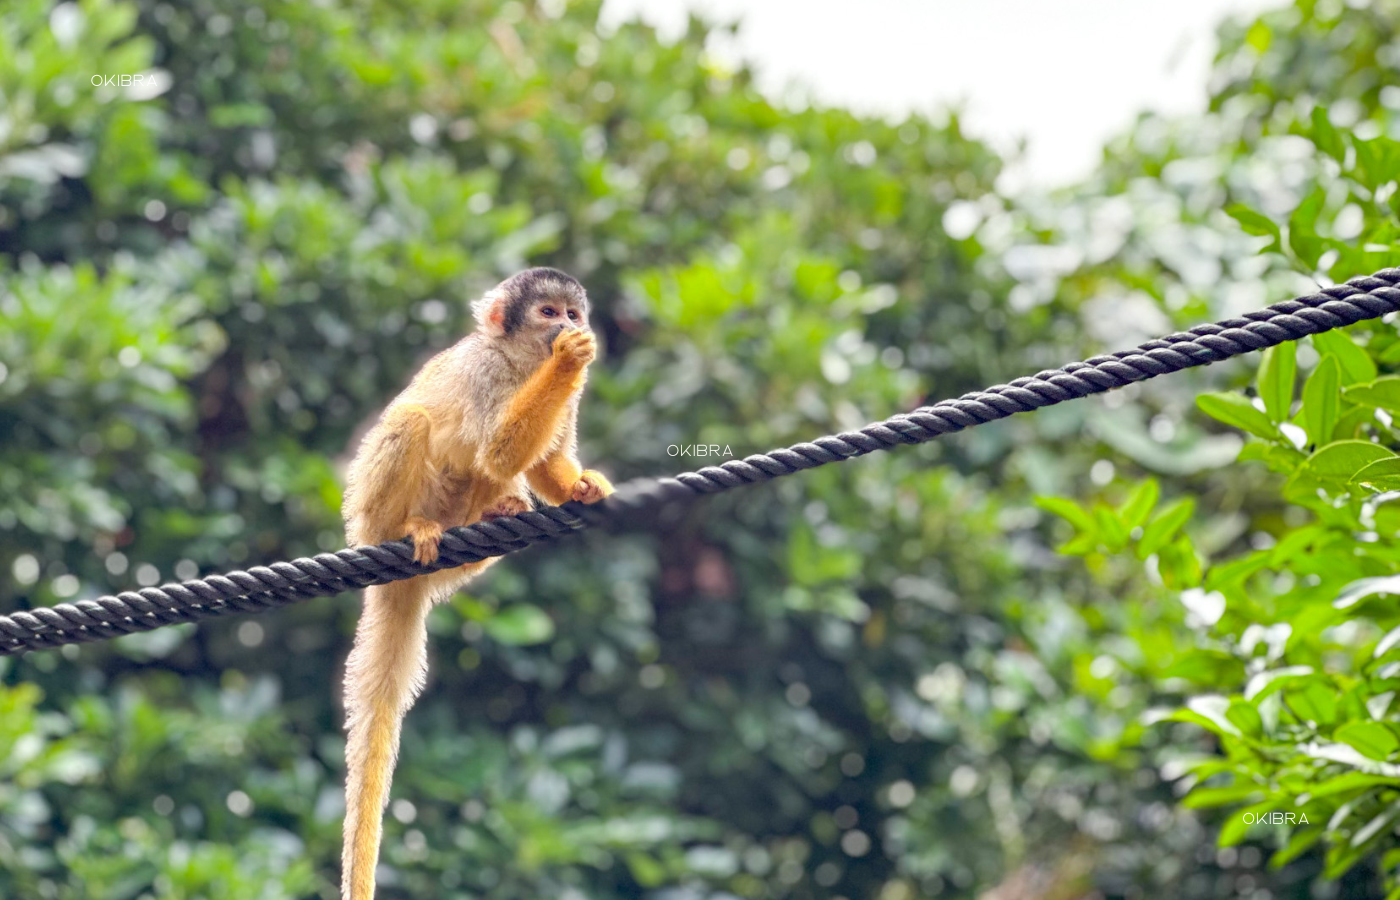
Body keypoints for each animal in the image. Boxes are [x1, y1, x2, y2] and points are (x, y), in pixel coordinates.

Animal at [338, 267, 613, 900]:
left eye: (572, 313)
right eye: (547, 312)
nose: (567, 327)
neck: (520, 362)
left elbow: (538, 461)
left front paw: (579, 487)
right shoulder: (486, 369)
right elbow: (501, 448)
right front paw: (567, 362)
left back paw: (499, 512)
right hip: (365, 516)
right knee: (414, 423)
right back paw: (408, 527)